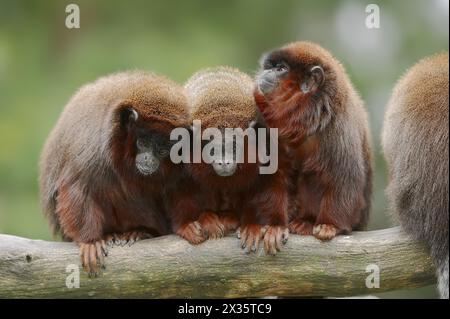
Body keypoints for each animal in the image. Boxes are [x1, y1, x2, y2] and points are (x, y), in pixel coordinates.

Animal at [39, 71, 191, 276]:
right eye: (143, 142)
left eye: (162, 149)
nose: (148, 159)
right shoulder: (95, 146)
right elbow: (77, 185)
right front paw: (90, 241)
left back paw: (139, 231)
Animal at [167, 67, 290, 255]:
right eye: (212, 149)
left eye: (234, 147)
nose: (223, 162)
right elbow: (180, 184)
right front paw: (187, 224)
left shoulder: (266, 138)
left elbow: (272, 178)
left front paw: (272, 226)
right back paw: (208, 217)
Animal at [253, 43, 372, 242]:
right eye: (270, 67)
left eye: (281, 69)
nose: (266, 72)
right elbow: (274, 175)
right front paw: (275, 225)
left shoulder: (338, 128)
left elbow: (346, 177)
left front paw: (331, 225)